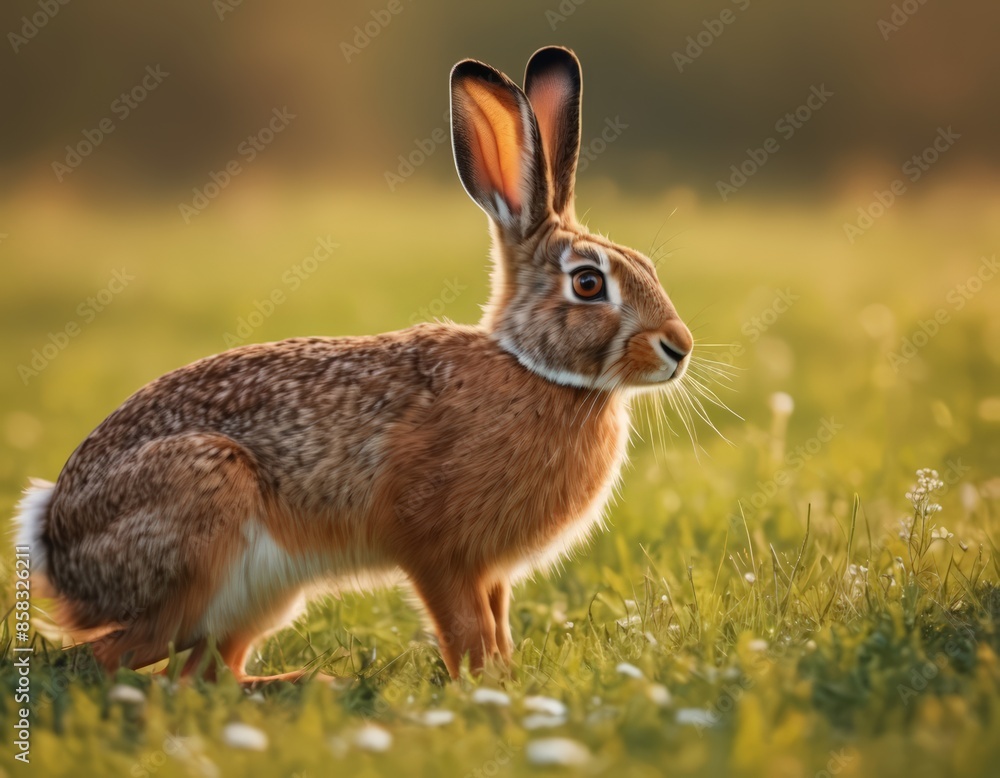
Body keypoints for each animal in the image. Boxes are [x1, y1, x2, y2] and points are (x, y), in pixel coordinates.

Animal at [13, 46, 693, 683]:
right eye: (588, 283)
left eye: (646, 266)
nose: (679, 347)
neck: (532, 367)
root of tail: (52, 536)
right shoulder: (437, 551)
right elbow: (467, 628)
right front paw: (488, 689)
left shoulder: (491, 571)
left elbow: (497, 624)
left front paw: (508, 680)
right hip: (203, 519)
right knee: (111, 658)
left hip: (263, 597)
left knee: (203, 674)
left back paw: (309, 683)